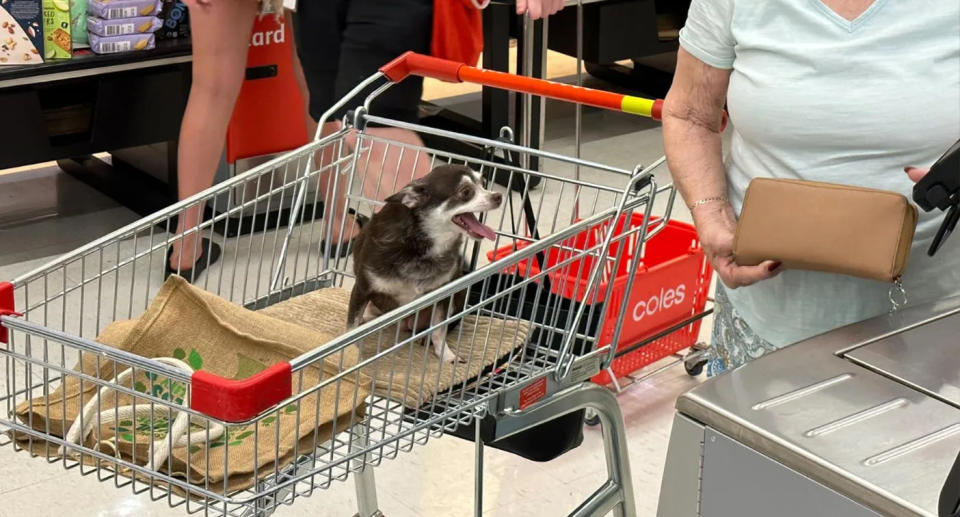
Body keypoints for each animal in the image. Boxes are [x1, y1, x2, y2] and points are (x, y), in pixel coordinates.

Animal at [346, 165, 502, 362]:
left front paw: (445, 355)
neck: (421, 244)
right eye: (466, 192)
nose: (498, 196)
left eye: (483, 183)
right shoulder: (362, 288)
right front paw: (349, 354)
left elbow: (439, 331)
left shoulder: (443, 294)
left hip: (459, 295)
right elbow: (351, 328)